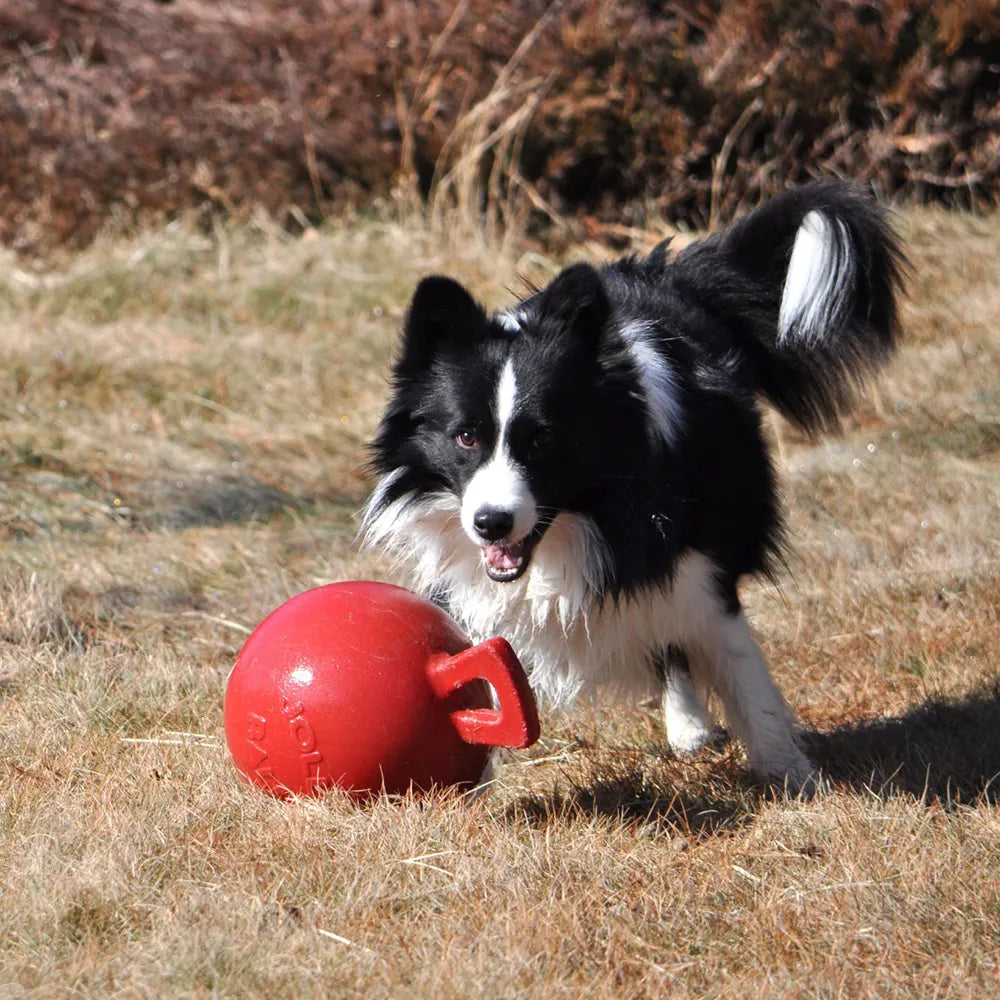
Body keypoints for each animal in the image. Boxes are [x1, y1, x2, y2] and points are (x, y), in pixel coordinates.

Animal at [362, 182, 908, 796]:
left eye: (543, 440)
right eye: (465, 436)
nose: (491, 523)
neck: (579, 523)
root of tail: (669, 278)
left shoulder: (689, 559)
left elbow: (742, 672)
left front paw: (794, 780)